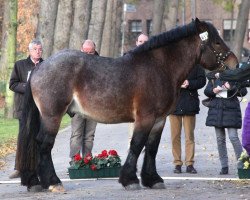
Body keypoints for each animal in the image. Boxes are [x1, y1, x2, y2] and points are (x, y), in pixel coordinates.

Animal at [16, 18, 237, 192]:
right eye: (217, 42)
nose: (235, 63)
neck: (160, 67)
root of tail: (39, 67)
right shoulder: (145, 117)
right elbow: (137, 144)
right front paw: (130, 180)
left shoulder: (159, 119)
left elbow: (152, 148)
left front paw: (152, 179)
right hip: (52, 116)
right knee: (44, 144)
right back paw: (53, 182)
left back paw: (35, 182)